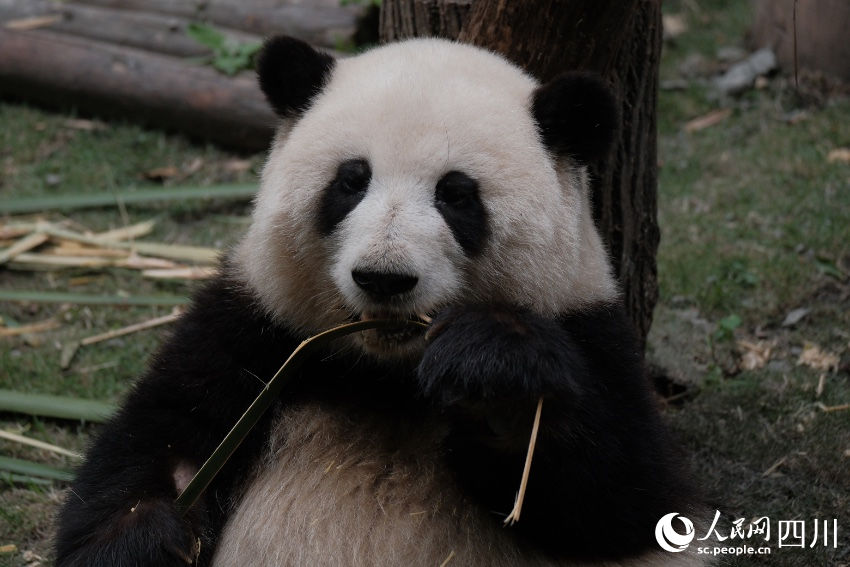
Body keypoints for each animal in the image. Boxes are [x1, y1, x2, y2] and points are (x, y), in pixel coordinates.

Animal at [55, 36, 704, 566]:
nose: (384, 279)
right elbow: (156, 445)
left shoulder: (591, 331)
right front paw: (145, 538)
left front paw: (496, 378)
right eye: (351, 180)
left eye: (456, 194)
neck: (386, 374)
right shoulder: (257, 328)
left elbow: (624, 496)